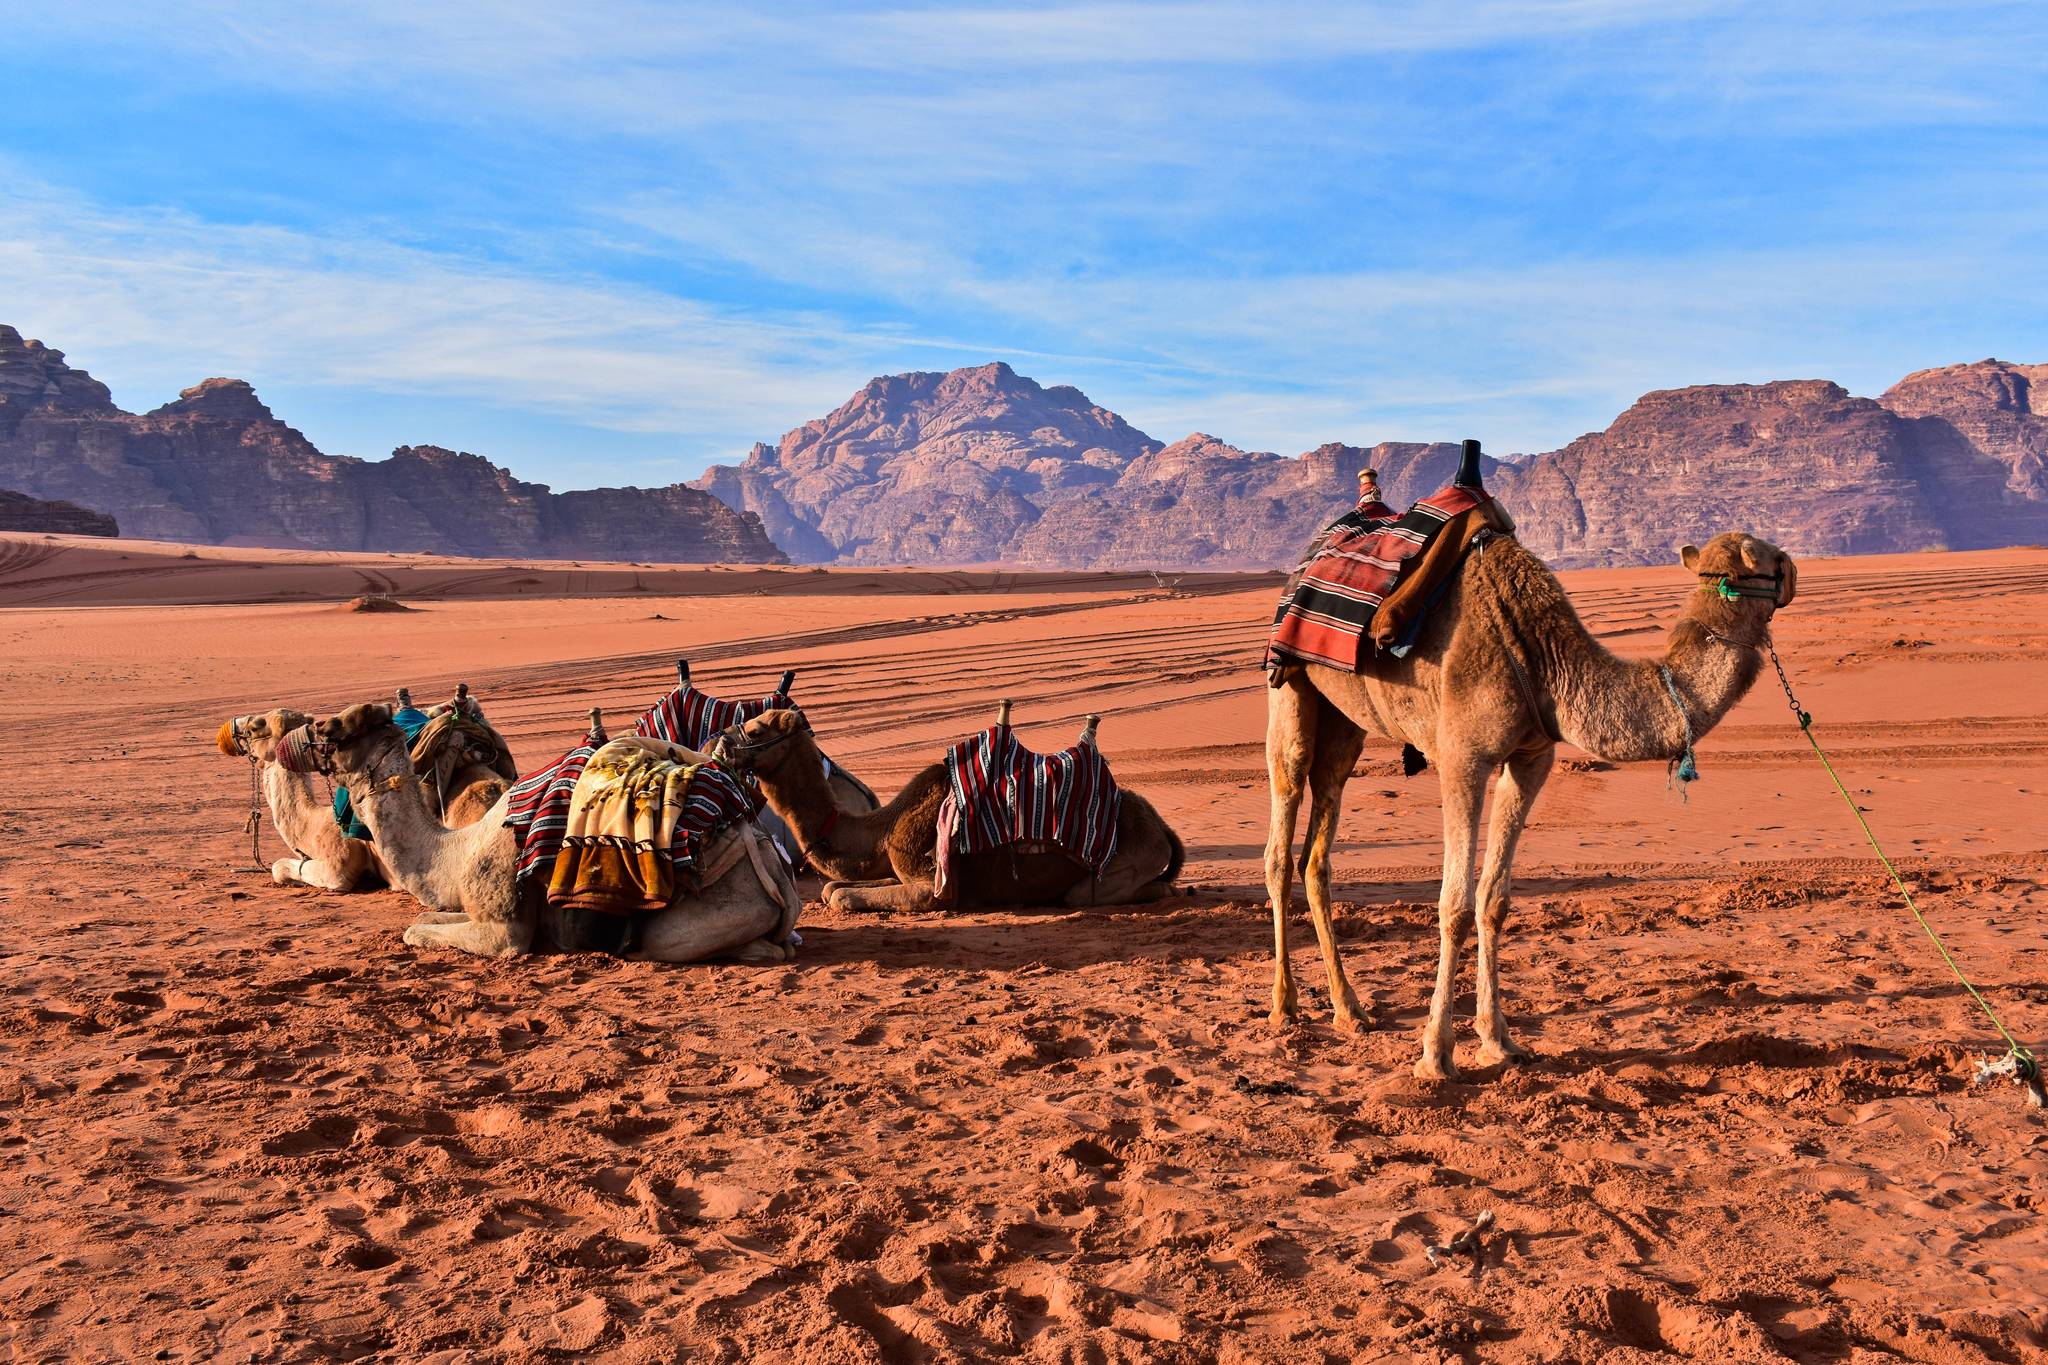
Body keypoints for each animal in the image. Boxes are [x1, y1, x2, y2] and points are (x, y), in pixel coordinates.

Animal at [307, 703, 802, 961]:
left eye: (340, 731)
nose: (312, 728)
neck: (454, 850)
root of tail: (778, 873)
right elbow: (421, 921)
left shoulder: (502, 930)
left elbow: (419, 931)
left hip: (714, 910)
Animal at [716, 703, 1187, 916]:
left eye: (755, 729)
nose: (721, 743)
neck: (881, 831)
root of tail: (1162, 829)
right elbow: (833, 889)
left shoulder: (932, 883)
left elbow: (842, 897)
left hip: (1121, 864)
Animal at [1269, 532, 1802, 1080]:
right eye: (1771, 559)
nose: (1794, 574)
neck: (1543, 658)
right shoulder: (1462, 759)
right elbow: (1454, 905)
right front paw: (1436, 1055)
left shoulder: (1531, 760)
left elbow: (1494, 900)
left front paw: (1499, 1042)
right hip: (1290, 687)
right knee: (1282, 834)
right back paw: (1285, 1006)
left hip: (1345, 722)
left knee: (1317, 847)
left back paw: (1350, 1010)